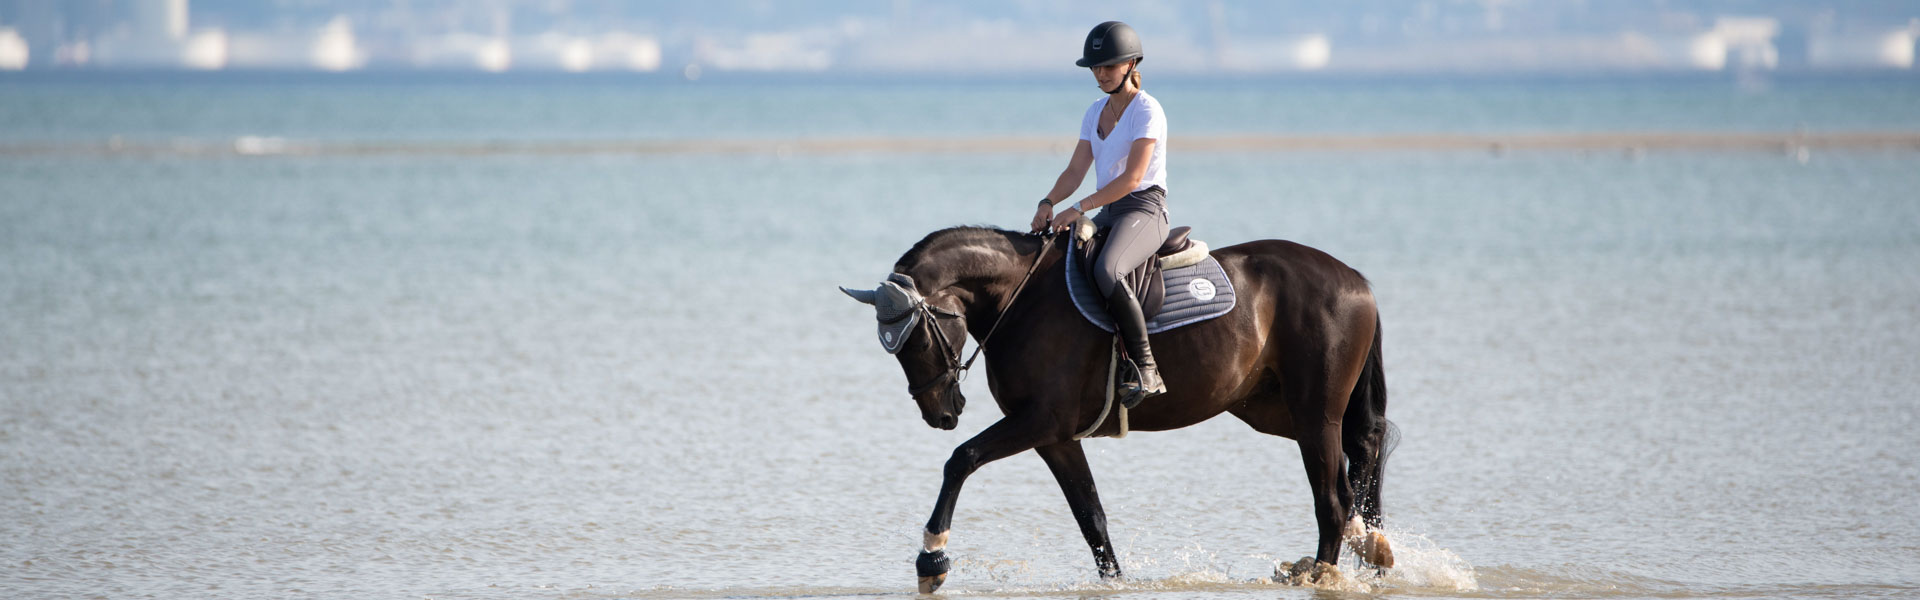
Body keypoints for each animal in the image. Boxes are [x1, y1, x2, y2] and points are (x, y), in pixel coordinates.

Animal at [840, 226, 1397, 592]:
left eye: (917, 340)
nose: (940, 413)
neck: (1020, 298)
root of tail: (1354, 279)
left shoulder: (1038, 421)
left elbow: (962, 459)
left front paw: (932, 555)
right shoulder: (1054, 437)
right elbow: (1091, 517)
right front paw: (1114, 581)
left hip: (1313, 414)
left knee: (1332, 499)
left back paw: (1326, 570)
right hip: (1276, 411)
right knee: (1359, 459)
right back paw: (1372, 547)